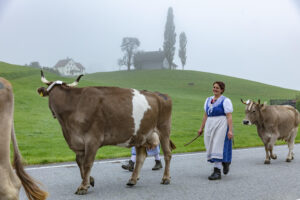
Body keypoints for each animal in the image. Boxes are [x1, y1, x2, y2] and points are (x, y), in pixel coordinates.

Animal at [37, 71, 176, 195]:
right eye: (50, 94)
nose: (53, 113)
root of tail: (160, 94)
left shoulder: (92, 139)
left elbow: (87, 163)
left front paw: (83, 187)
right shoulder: (78, 142)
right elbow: (79, 162)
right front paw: (89, 181)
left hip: (164, 129)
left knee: (167, 154)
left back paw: (166, 178)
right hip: (140, 135)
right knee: (141, 157)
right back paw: (132, 180)